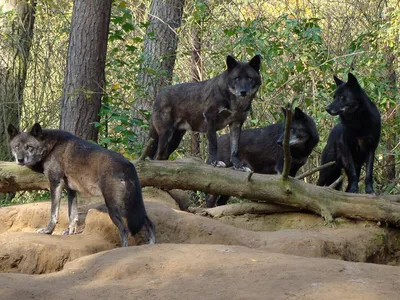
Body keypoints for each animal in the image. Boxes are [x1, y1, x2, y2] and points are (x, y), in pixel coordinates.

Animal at [7, 123, 156, 247]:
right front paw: (70, 232)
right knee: (150, 224)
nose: (20, 159)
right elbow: (72, 215)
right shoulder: (70, 190)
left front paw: (48, 231)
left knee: (125, 230)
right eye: (16, 147)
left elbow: (53, 214)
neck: (51, 146)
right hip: (132, 206)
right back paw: (152, 245)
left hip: (115, 206)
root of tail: (128, 165)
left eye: (29, 147)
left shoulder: (55, 183)